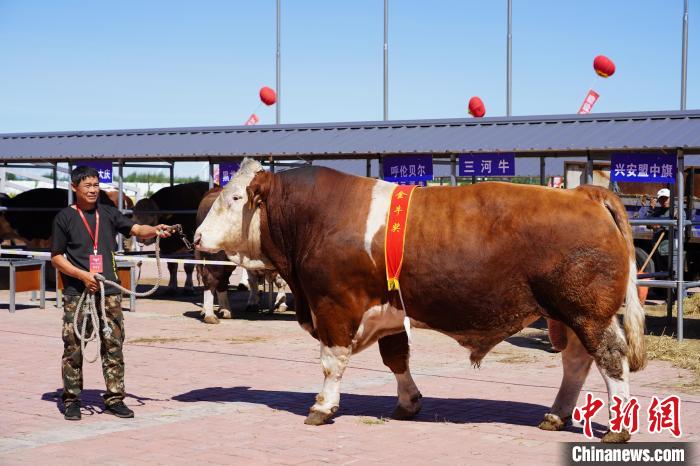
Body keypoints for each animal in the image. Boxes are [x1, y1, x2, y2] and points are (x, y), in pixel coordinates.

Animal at [194, 158, 648, 442]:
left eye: (235, 199)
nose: (196, 236)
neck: (316, 218)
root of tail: (585, 193)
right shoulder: (389, 312)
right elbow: (396, 359)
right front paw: (408, 403)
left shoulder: (333, 306)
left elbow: (331, 362)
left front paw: (322, 407)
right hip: (566, 317)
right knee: (577, 363)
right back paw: (555, 415)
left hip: (586, 314)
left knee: (610, 359)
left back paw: (617, 428)